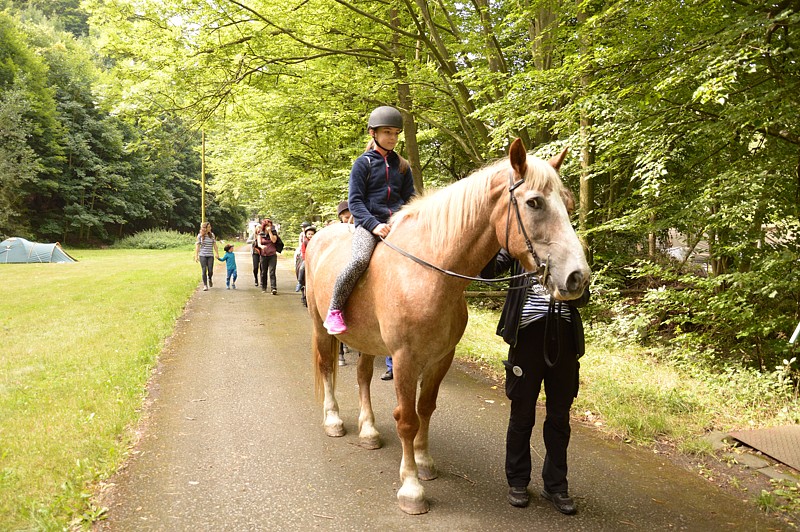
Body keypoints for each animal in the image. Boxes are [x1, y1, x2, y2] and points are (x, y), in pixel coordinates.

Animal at [304, 138, 592, 516]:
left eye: (569, 203)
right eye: (534, 202)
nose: (577, 278)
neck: (429, 273)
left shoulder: (441, 357)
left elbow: (426, 408)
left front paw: (424, 463)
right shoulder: (406, 359)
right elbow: (407, 418)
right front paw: (411, 488)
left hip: (367, 340)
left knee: (363, 377)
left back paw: (368, 432)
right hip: (323, 329)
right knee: (326, 368)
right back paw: (334, 421)